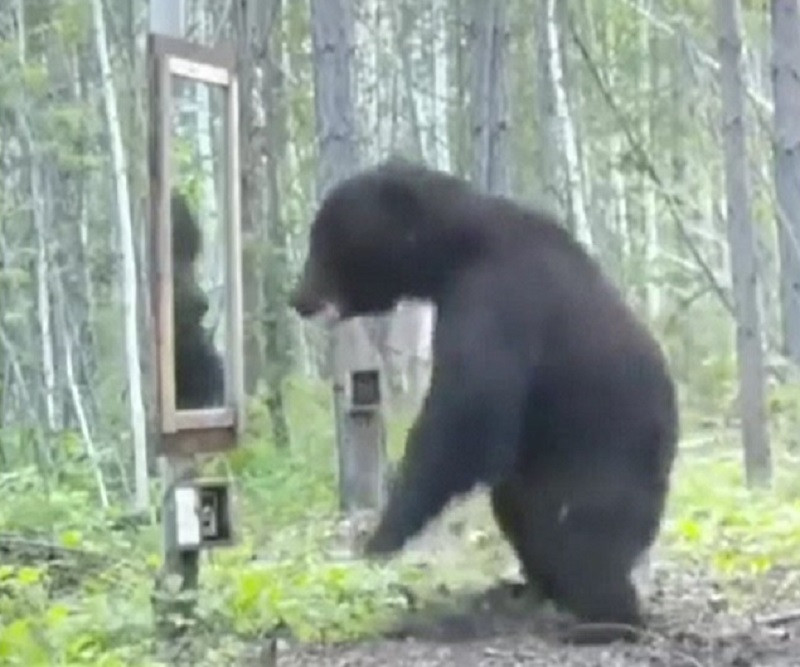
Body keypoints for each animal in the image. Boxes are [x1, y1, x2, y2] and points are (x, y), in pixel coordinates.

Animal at [289, 159, 679, 643]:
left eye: (324, 238)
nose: (297, 298)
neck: (455, 251)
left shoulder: (498, 300)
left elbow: (465, 420)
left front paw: (379, 539)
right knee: (520, 511)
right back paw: (527, 590)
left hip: (603, 466)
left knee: (584, 541)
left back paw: (600, 619)